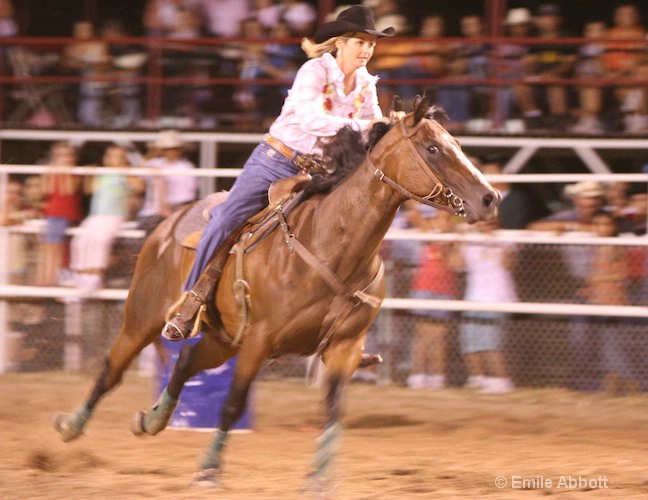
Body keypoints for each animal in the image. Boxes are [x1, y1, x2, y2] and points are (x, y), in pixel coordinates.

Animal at [55, 99, 502, 490]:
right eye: (433, 148)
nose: (490, 198)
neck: (331, 243)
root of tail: (166, 225)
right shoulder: (260, 339)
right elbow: (233, 404)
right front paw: (209, 470)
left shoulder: (343, 347)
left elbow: (333, 410)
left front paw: (321, 479)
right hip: (144, 318)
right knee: (112, 369)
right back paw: (70, 425)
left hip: (223, 339)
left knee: (185, 363)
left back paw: (152, 420)